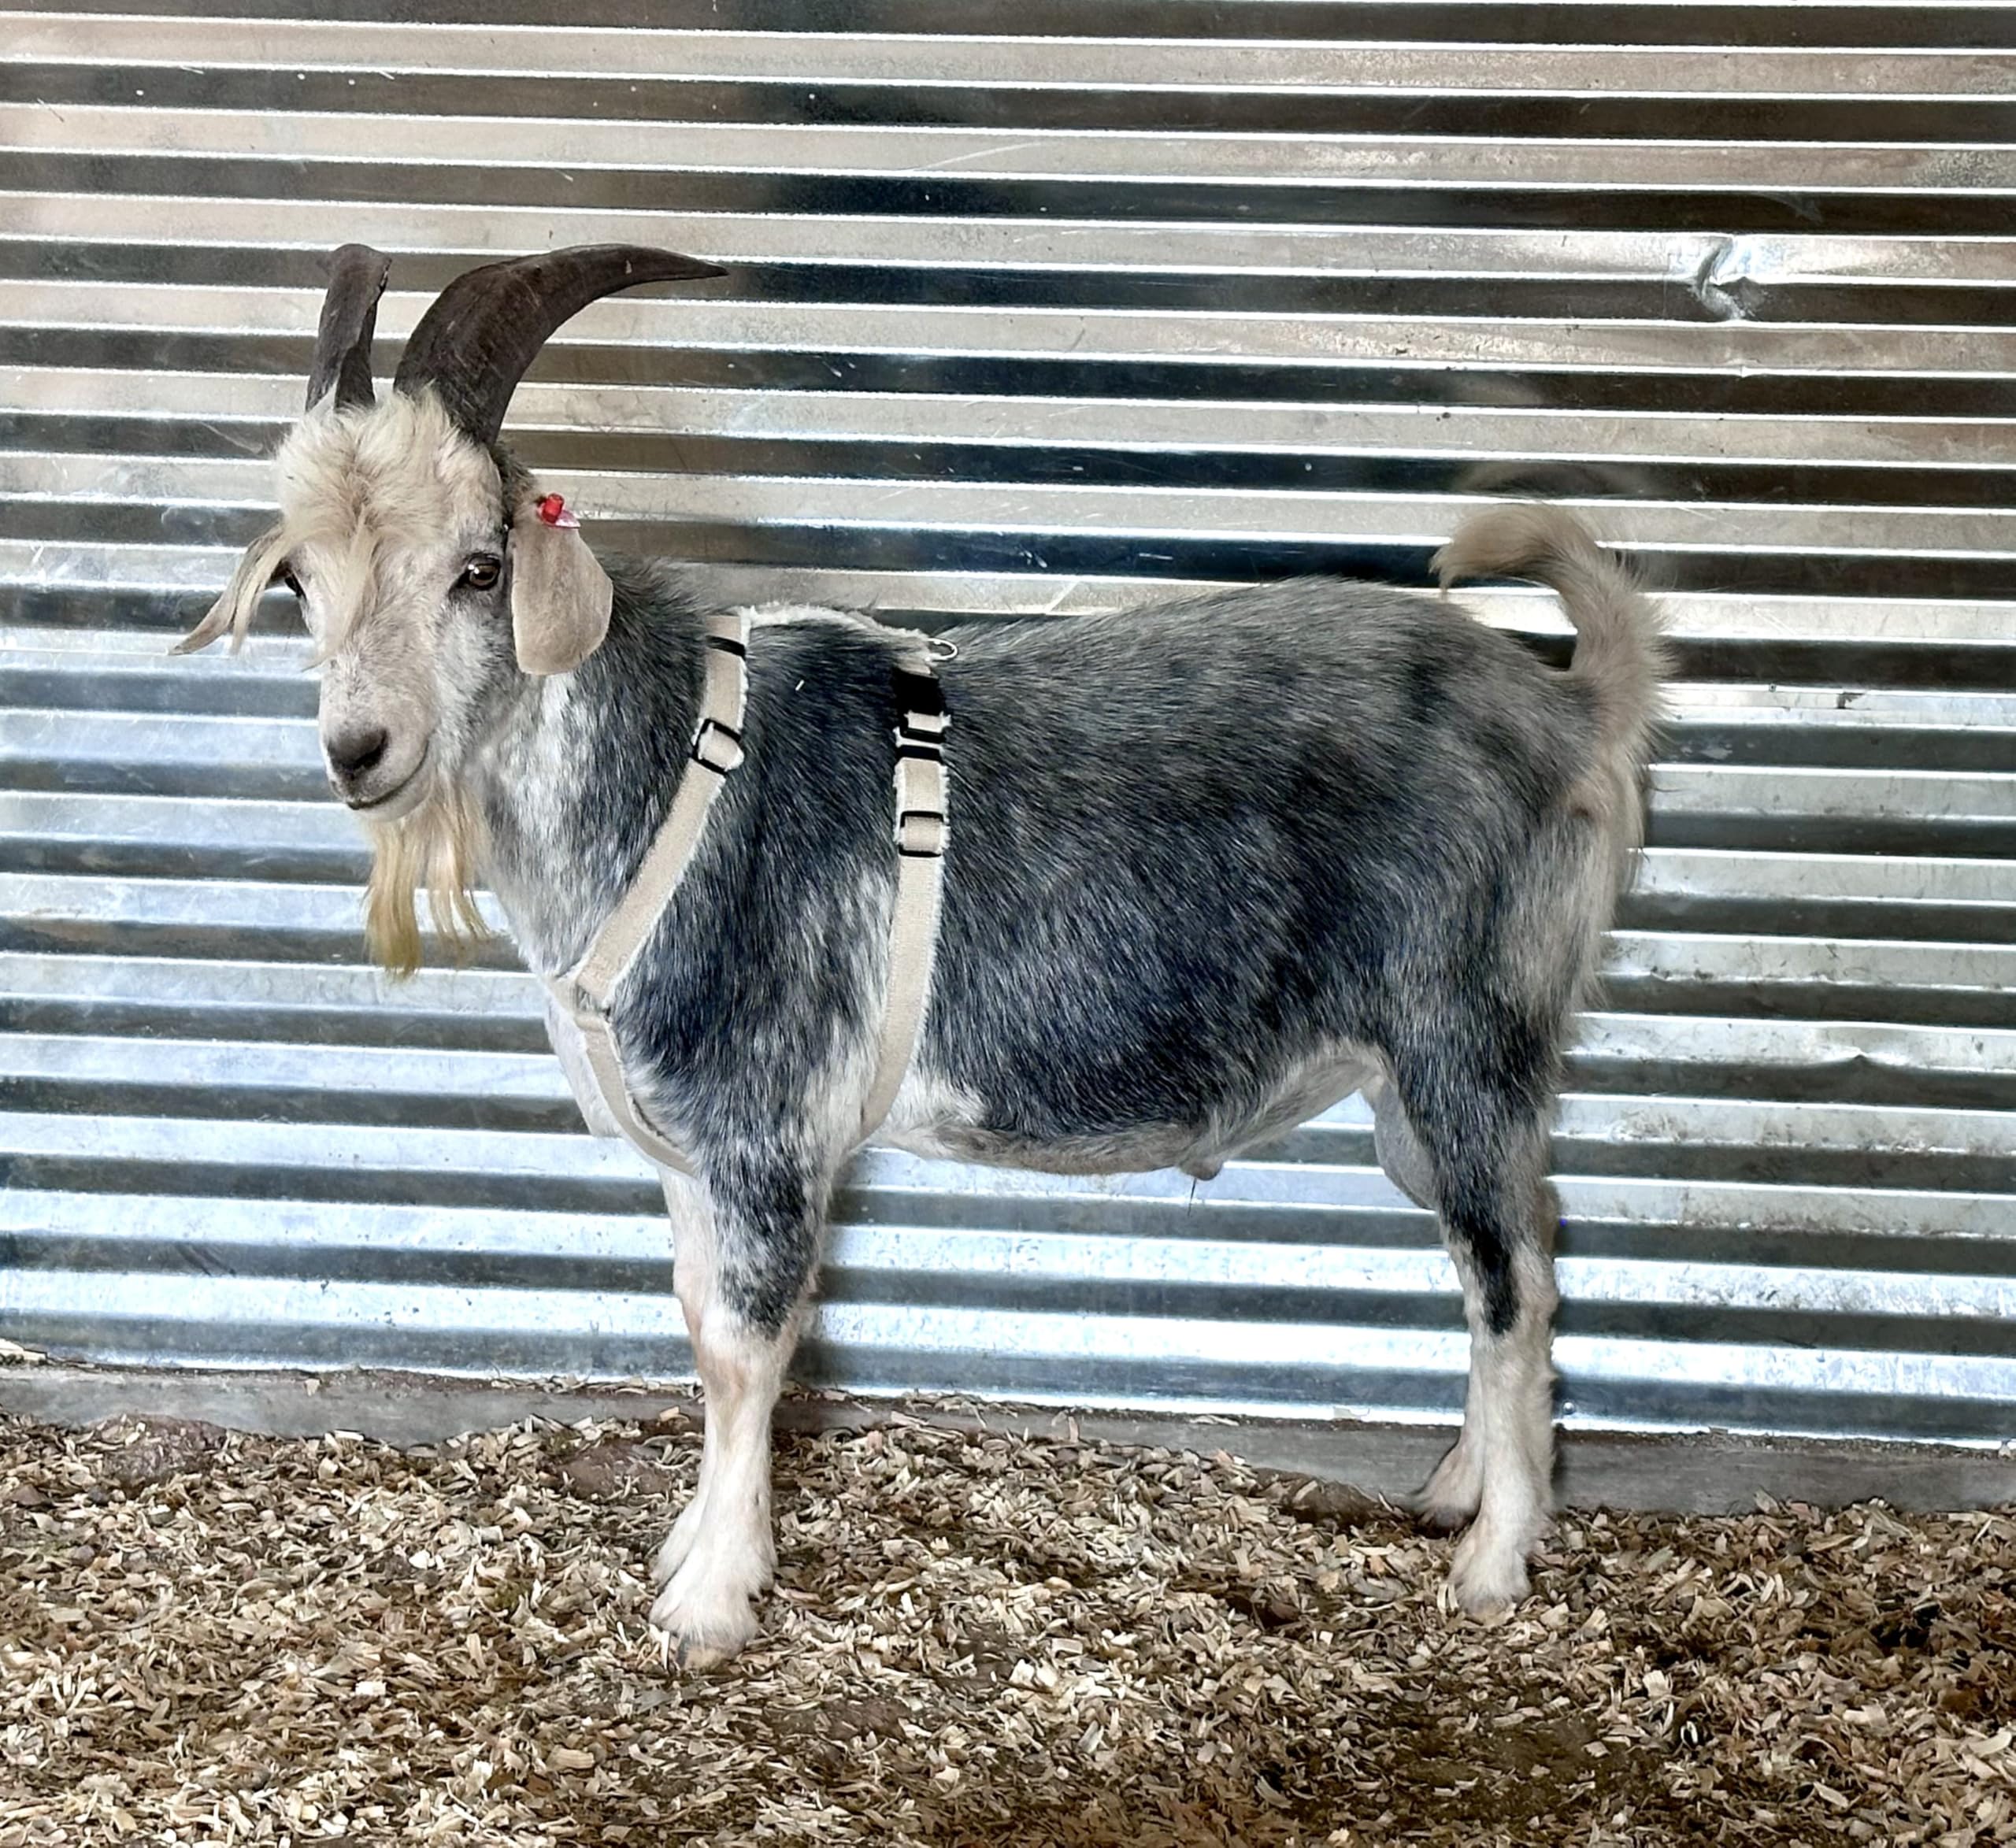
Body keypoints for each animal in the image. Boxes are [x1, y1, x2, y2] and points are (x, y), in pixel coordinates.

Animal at [182, 243, 1669, 1667]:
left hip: (1466, 1032)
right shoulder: (688, 1150)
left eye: (478, 568)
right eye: (302, 578)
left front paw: (711, 1601)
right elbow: (694, 1326)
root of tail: (1568, 708)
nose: (359, 751)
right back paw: (1457, 1487)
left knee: (1516, 1276)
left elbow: (746, 1351)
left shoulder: (769, 1126)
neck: (670, 769)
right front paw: (687, 1549)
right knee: (1501, 1258)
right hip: (1411, 1085)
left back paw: (1494, 1565)